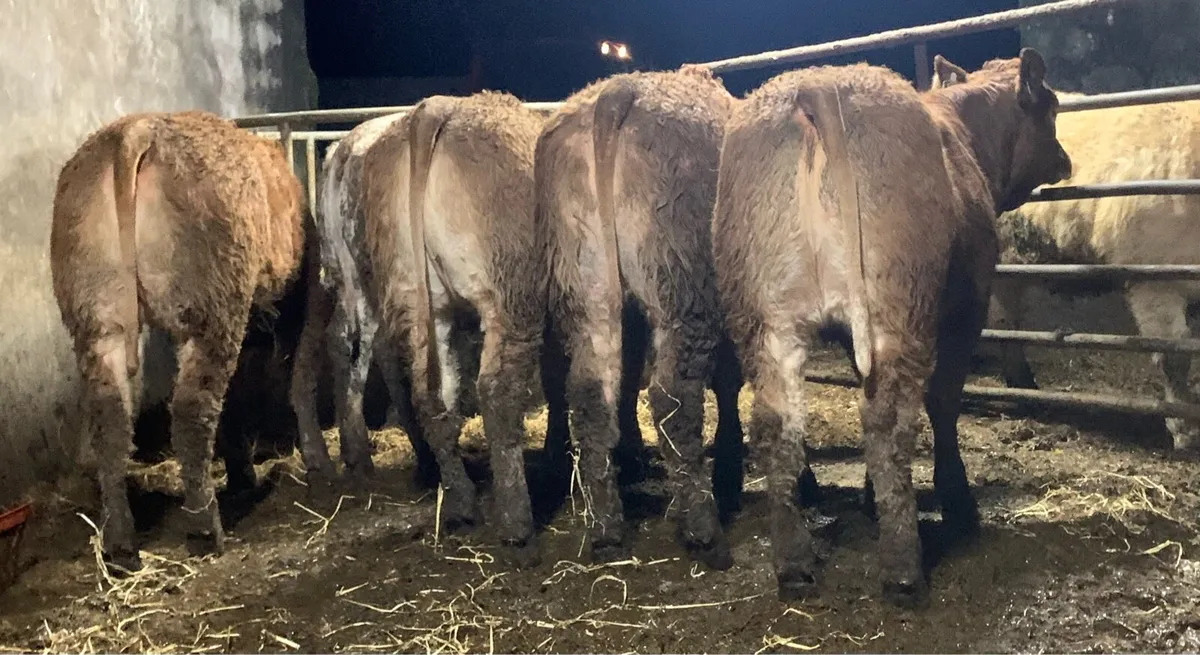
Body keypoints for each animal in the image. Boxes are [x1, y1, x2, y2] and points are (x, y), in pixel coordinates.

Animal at [51, 111, 309, 574]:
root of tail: (135, 129)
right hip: (211, 307)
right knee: (193, 410)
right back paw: (207, 530)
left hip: (96, 314)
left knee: (110, 418)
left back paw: (121, 547)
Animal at [535, 65, 746, 569]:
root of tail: (617, 92)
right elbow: (730, 383)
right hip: (684, 287)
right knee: (673, 398)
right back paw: (705, 532)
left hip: (588, 287)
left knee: (592, 391)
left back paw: (607, 530)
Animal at [711, 49, 1071, 606]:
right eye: (1051, 107)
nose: (1064, 159)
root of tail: (816, 86)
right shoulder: (966, 309)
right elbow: (943, 404)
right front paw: (956, 501)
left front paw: (868, 494)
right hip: (898, 307)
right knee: (889, 419)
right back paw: (903, 568)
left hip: (765, 321)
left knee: (777, 422)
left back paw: (793, 564)